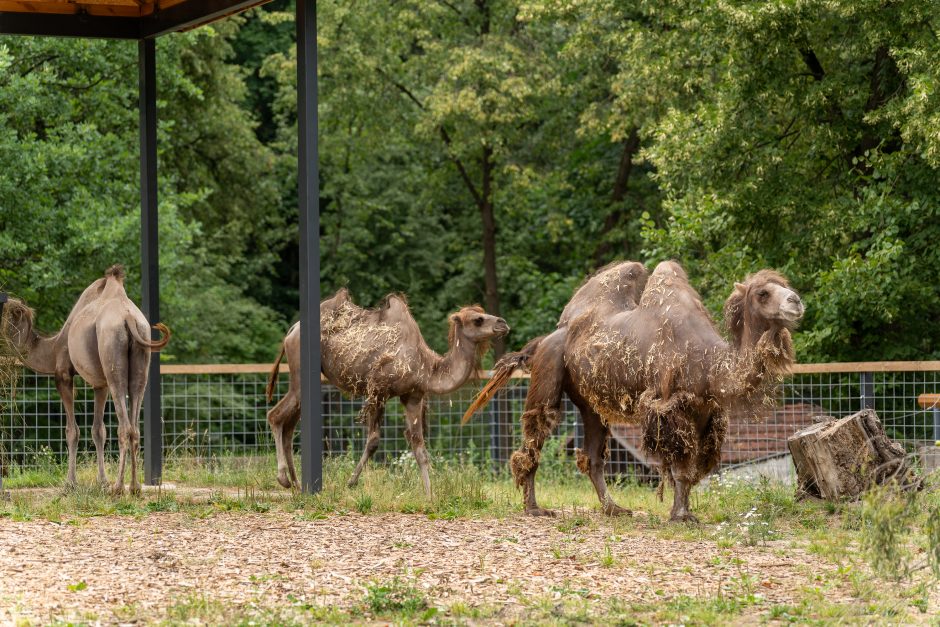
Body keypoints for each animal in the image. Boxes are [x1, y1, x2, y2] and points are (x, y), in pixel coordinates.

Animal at [0, 264, 171, 490]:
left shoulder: (63, 374)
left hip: (111, 348)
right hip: (142, 353)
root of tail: (129, 319)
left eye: (5, 312)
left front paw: (70, 483)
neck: (53, 349)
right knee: (135, 423)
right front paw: (102, 482)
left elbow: (72, 431)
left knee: (124, 427)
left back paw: (119, 489)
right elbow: (99, 430)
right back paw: (134, 488)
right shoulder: (100, 384)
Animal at [268, 290, 510, 496]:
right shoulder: (378, 391)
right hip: (300, 371)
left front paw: (430, 495)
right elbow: (374, 441)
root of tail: (292, 330)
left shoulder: (413, 397)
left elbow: (419, 446)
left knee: (289, 425)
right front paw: (351, 482)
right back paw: (283, 479)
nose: (503, 323)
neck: (426, 366)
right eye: (478, 320)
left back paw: (297, 484)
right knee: (276, 415)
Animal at [462, 260, 800, 520]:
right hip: (548, 370)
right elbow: (679, 468)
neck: (709, 363)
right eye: (763, 292)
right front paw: (680, 516)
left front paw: (684, 512)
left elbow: (690, 471)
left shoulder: (705, 413)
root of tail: (546, 338)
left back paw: (613, 509)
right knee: (535, 436)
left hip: (591, 403)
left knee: (592, 457)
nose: (796, 301)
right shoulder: (670, 407)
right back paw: (534, 508)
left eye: (783, 284)